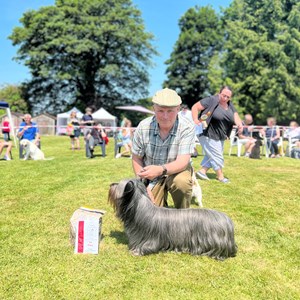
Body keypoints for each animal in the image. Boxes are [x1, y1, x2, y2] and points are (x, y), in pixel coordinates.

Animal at [109, 178, 238, 260]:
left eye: (118, 184)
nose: (111, 184)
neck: (140, 208)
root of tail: (227, 220)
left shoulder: (150, 241)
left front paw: (136, 252)